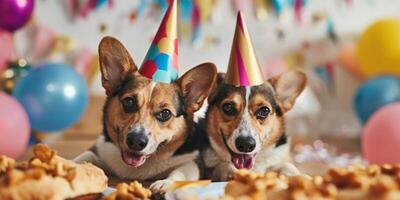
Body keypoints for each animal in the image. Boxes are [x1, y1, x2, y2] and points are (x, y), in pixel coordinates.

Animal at [75, 36, 219, 192]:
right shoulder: (99, 150)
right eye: (129, 101)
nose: (136, 141)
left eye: (165, 113)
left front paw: (165, 183)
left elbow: (179, 173)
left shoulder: (192, 162)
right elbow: (82, 158)